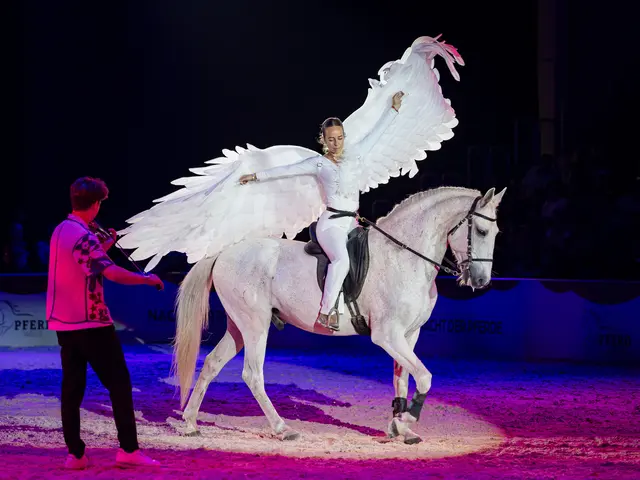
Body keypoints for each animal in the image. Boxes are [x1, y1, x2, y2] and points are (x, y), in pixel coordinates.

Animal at [172, 186, 505, 443]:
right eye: (481, 231)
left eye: (496, 232)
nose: (481, 281)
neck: (404, 257)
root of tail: (225, 251)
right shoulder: (387, 335)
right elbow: (424, 377)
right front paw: (408, 420)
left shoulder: (409, 335)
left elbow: (402, 379)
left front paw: (399, 427)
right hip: (256, 325)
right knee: (252, 374)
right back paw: (283, 429)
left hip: (239, 326)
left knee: (212, 363)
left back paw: (190, 423)